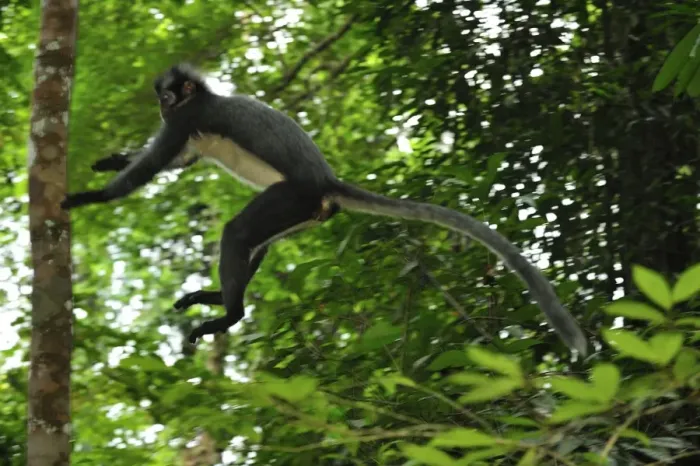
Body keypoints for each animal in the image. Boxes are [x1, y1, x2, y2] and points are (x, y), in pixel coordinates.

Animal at [62, 63, 587, 355]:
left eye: (169, 96)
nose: (162, 107)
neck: (201, 99)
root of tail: (325, 180)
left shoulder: (189, 118)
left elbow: (154, 167)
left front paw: (89, 197)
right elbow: (180, 161)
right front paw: (111, 160)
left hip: (292, 196)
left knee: (237, 232)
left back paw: (230, 314)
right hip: (301, 211)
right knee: (254, 243)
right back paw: (217, 300)